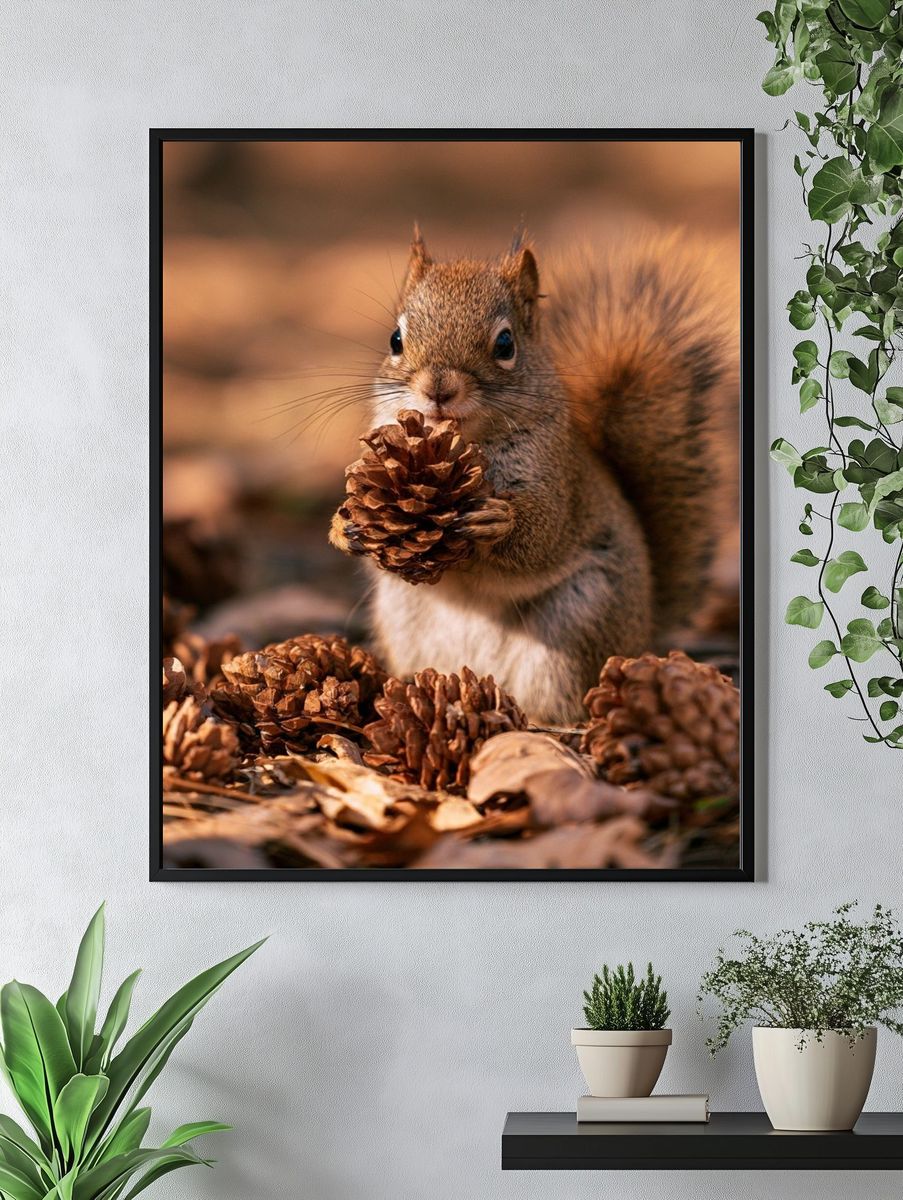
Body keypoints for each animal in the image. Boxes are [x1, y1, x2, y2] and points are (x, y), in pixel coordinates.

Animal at [332, 227, 739, 724]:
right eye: (395, 339)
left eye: (506, 345)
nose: (438, 389)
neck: (465, 442)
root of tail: (642, 633)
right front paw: (342, 527)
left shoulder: (559, 480)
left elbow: (542, 535)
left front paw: (498, 522)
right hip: (404, 615)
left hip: (577, 623)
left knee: (563, 701)